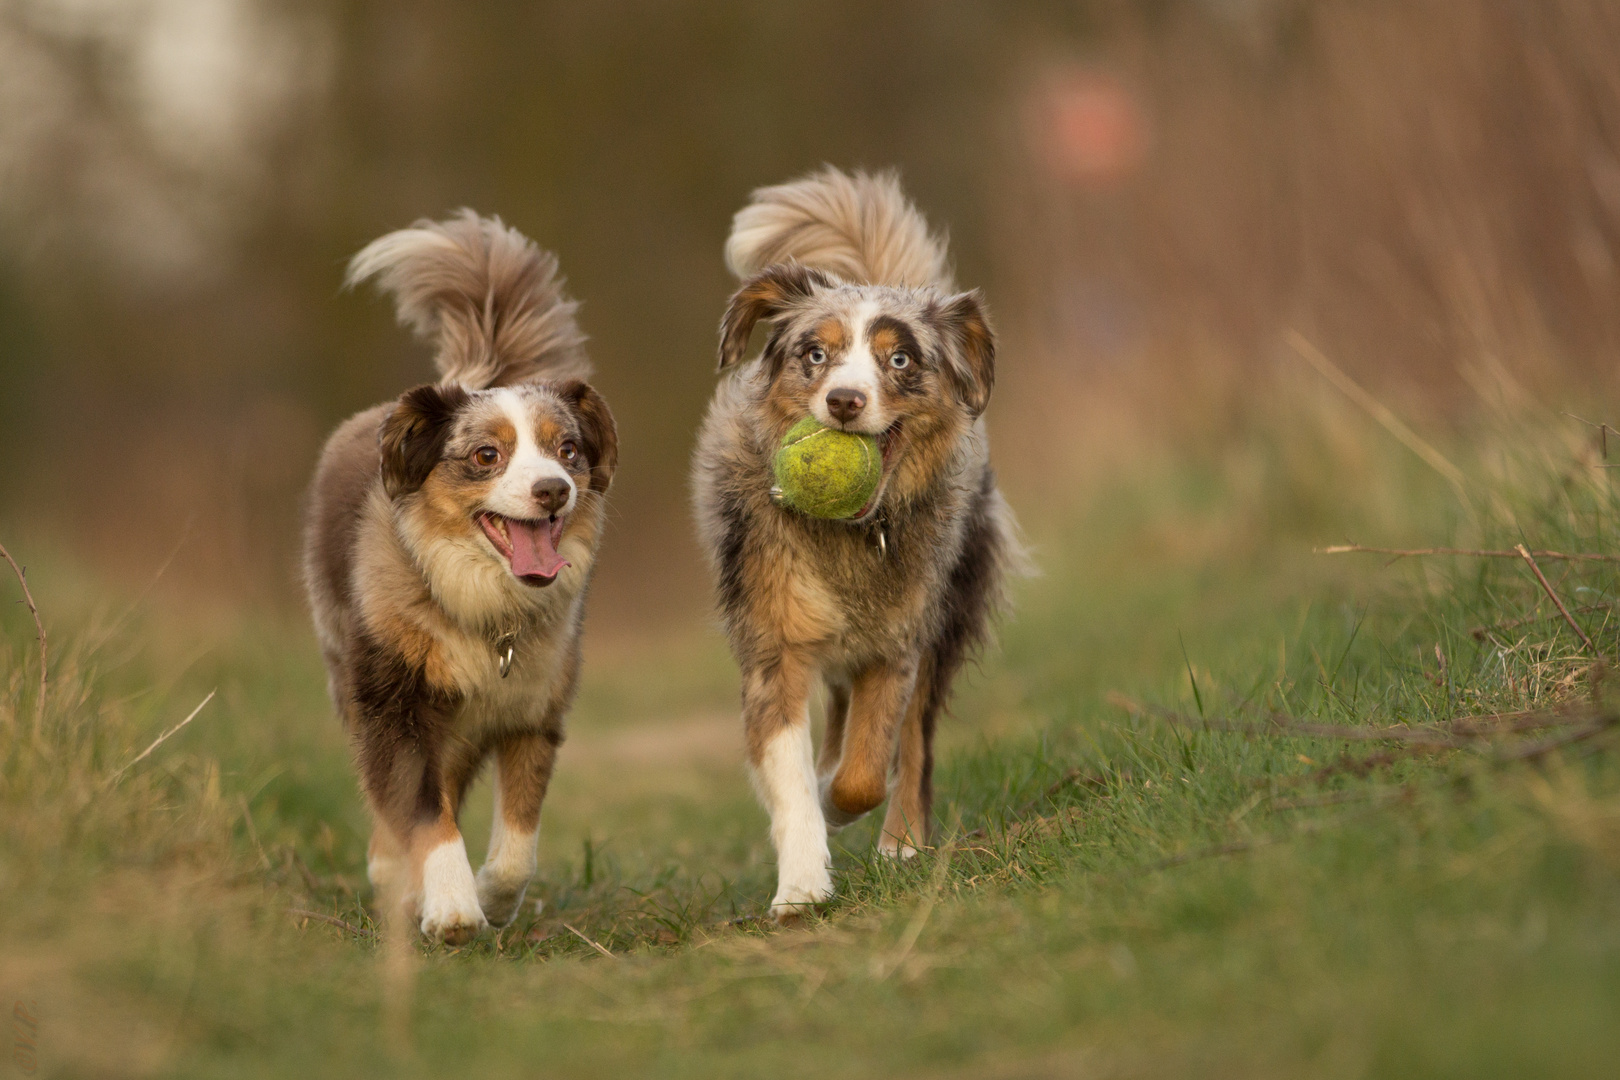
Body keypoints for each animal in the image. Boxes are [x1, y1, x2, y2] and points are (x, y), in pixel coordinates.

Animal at [301, 208, 615, 939]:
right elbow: (421, 808)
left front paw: (492, 897)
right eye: (486, 455)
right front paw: (449, 905)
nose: (554, 490)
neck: (485, 607)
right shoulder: (395, 703)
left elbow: (518, 842)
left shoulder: (531, 710)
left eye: (568, 449)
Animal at [693, 166, 1023, 919]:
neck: (849, 536)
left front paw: (847, 808)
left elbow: (869, 768)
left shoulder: (899, 637)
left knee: (916, 740)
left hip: (950, 605)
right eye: (816, 354)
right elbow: (789, 770)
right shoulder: (775, 637)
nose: (844, 401)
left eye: (898, 359)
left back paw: (902, 839)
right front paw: (800, 887)